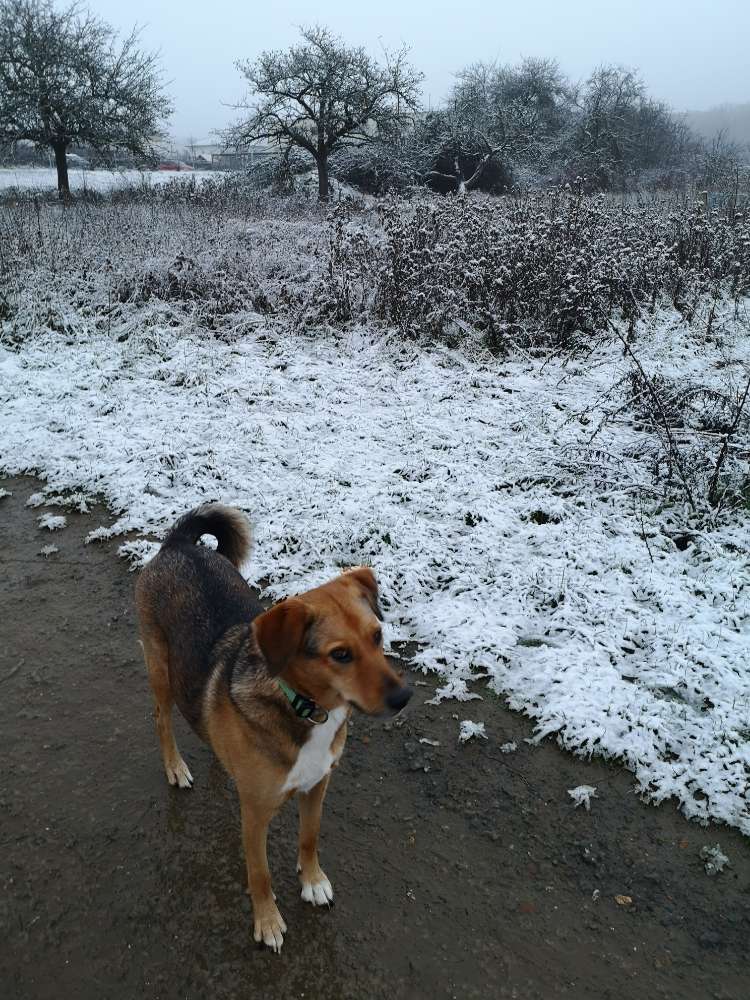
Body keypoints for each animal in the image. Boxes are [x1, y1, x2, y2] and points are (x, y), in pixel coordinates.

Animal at [137, 504, 418, 948]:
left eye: (378, 636)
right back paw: (175, 767)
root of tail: (179, 544)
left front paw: (313, 880)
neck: (307, 709)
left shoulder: (318, 785)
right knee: (162, 720)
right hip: (161, 670)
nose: (403, 697)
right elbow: (260, 874)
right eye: (340, 655)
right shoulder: (254, 815)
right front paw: (267, 922)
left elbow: (310, 836)